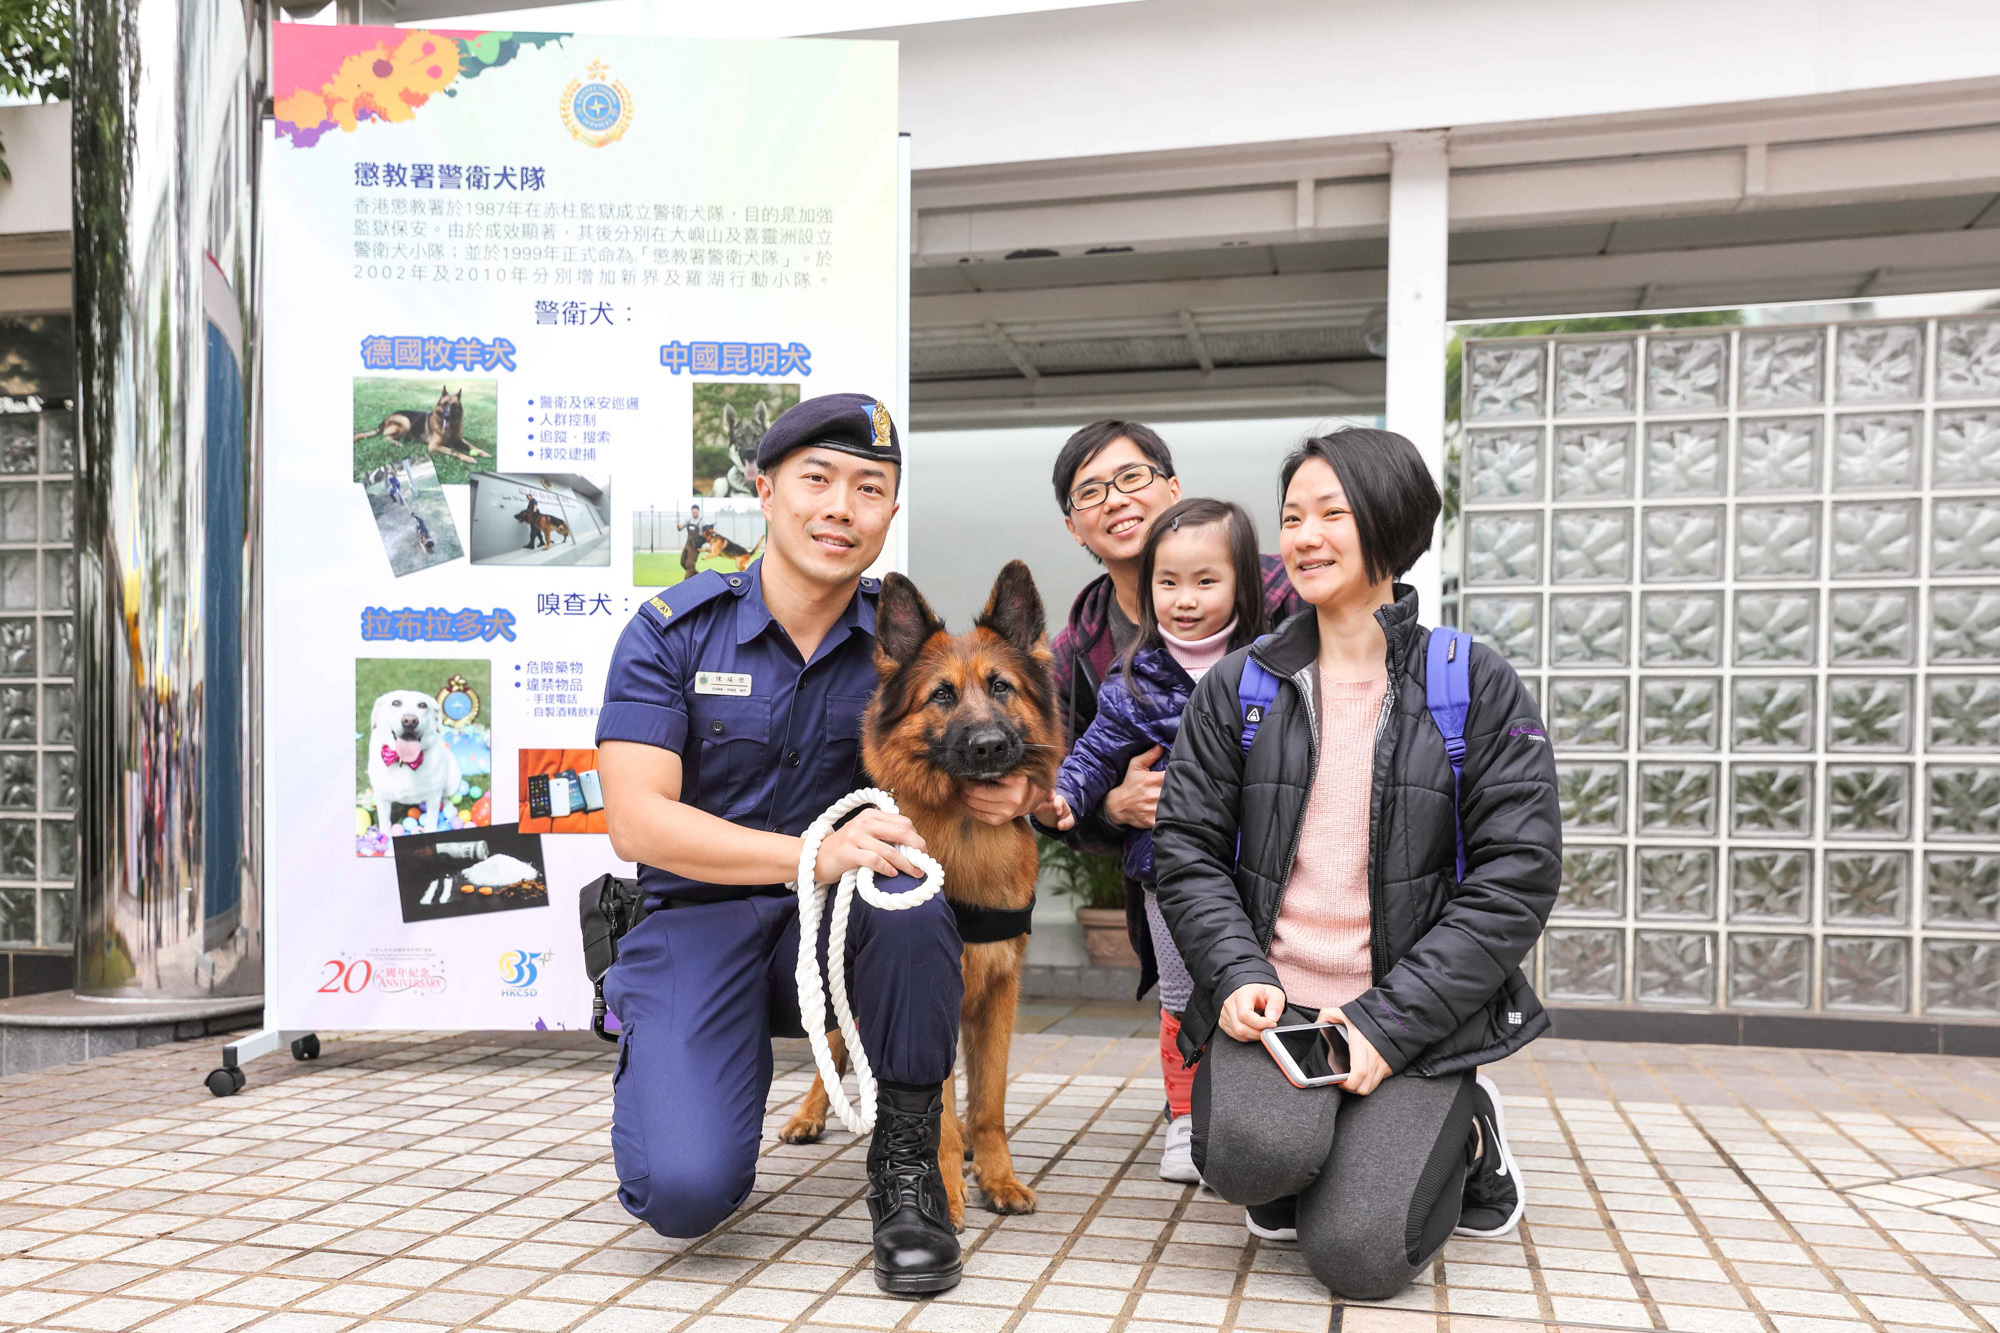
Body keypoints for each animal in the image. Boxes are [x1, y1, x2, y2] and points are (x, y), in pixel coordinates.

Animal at [354, 384, 494, 462]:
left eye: (454, 406)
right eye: (444, 404)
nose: (447, 416)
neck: (450, 430)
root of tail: (384, 420)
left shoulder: (459, 440)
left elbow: (472, 446)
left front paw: (483, 453)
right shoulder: (434, 446)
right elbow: (454, 451)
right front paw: (469, 458)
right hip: (405, 422)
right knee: (384, 438)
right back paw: (398, 443)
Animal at [780, 556, 1064, 1216]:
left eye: (1001, 687)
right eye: (942, 695)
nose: (989, 746)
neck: (966, 829)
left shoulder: (999, 993)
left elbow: (989, 1101)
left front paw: (997, 1176)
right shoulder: (935, 992)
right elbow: (939, 1105)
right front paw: (948, 1187)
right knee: (832, 1048)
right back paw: (810, 1115)